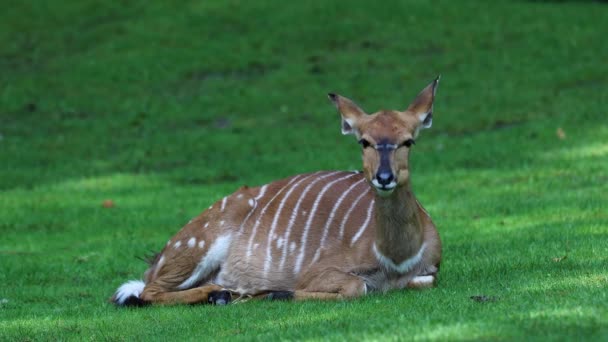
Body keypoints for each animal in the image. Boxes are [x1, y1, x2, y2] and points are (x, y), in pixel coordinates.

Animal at [110, 78, 442, 308]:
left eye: (408, 141)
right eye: (364, 141)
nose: (383, 178)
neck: (395, 259)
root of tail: (158, 258)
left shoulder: (431, 271)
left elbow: (422, 282)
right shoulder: (318, 271)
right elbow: (356, 287)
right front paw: (274, 293)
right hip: (198, 243)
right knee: (146, 290)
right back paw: (222, 294)